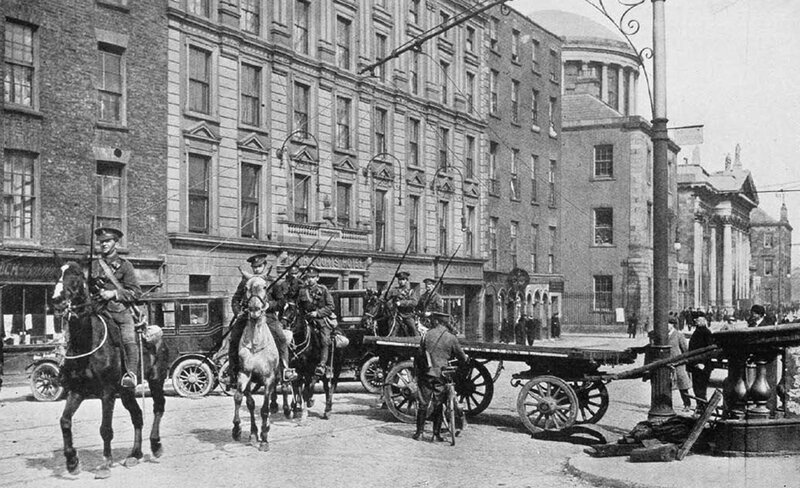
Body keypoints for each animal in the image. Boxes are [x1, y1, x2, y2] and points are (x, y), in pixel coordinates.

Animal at [52, 262, 168, 478]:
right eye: (58, 274)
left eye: (76, 276)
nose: (57, 300)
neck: (87, 343)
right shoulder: (77, 390)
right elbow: (65, 421)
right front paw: (72, 462)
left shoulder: (107, 392)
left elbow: (105, 428)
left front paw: (106, 463)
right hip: (126, 391)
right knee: (137, 415)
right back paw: (135, 454)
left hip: (156, 379)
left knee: (158, 407)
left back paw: (155, 445)